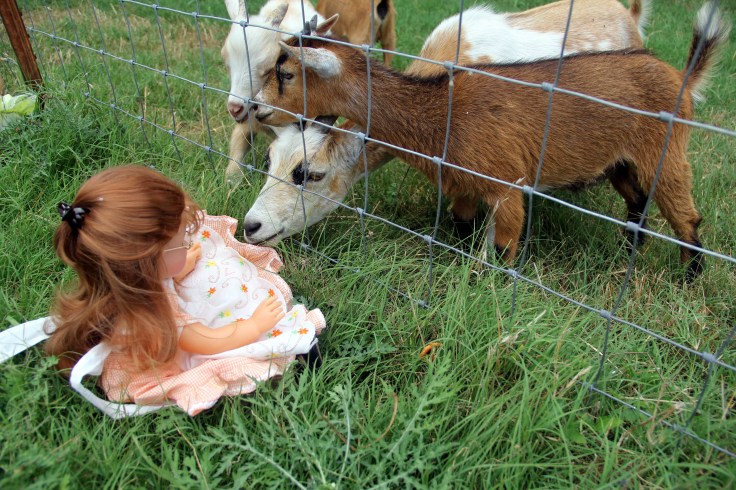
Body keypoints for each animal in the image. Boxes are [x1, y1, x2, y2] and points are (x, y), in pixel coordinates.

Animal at [252, 3, 730, 280]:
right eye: (269, 161)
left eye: (310, 174)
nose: (252, 226)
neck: (442, 109)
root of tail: (681, 78)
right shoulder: (463, 182)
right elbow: (461, 226)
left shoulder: (507, 185)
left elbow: (501, 249)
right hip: (620, 162)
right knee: (637, 201)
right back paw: (628, 251)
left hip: (665, 152)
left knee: (686, 217)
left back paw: (688, 278)